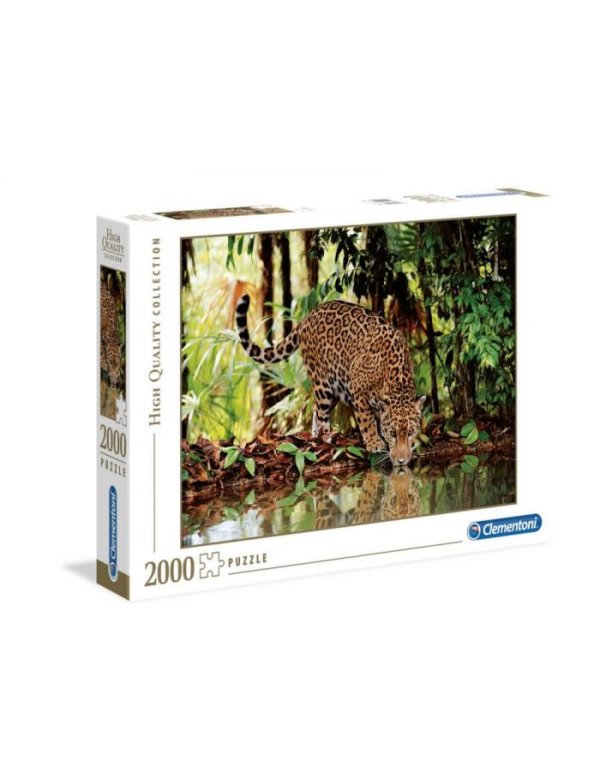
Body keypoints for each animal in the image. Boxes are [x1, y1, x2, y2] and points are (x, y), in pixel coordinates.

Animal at [235, 294, 425, 466]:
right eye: (393, 433)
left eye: (411, 432)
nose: (401, 461)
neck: (396, 382)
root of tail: (308, 316)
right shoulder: (358, 391)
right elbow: (367, 421)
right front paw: (374, 443)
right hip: (323, 383)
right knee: (321, 414)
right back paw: (324, 437)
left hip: (334, 389)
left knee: (315, 410)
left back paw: (315, 436)